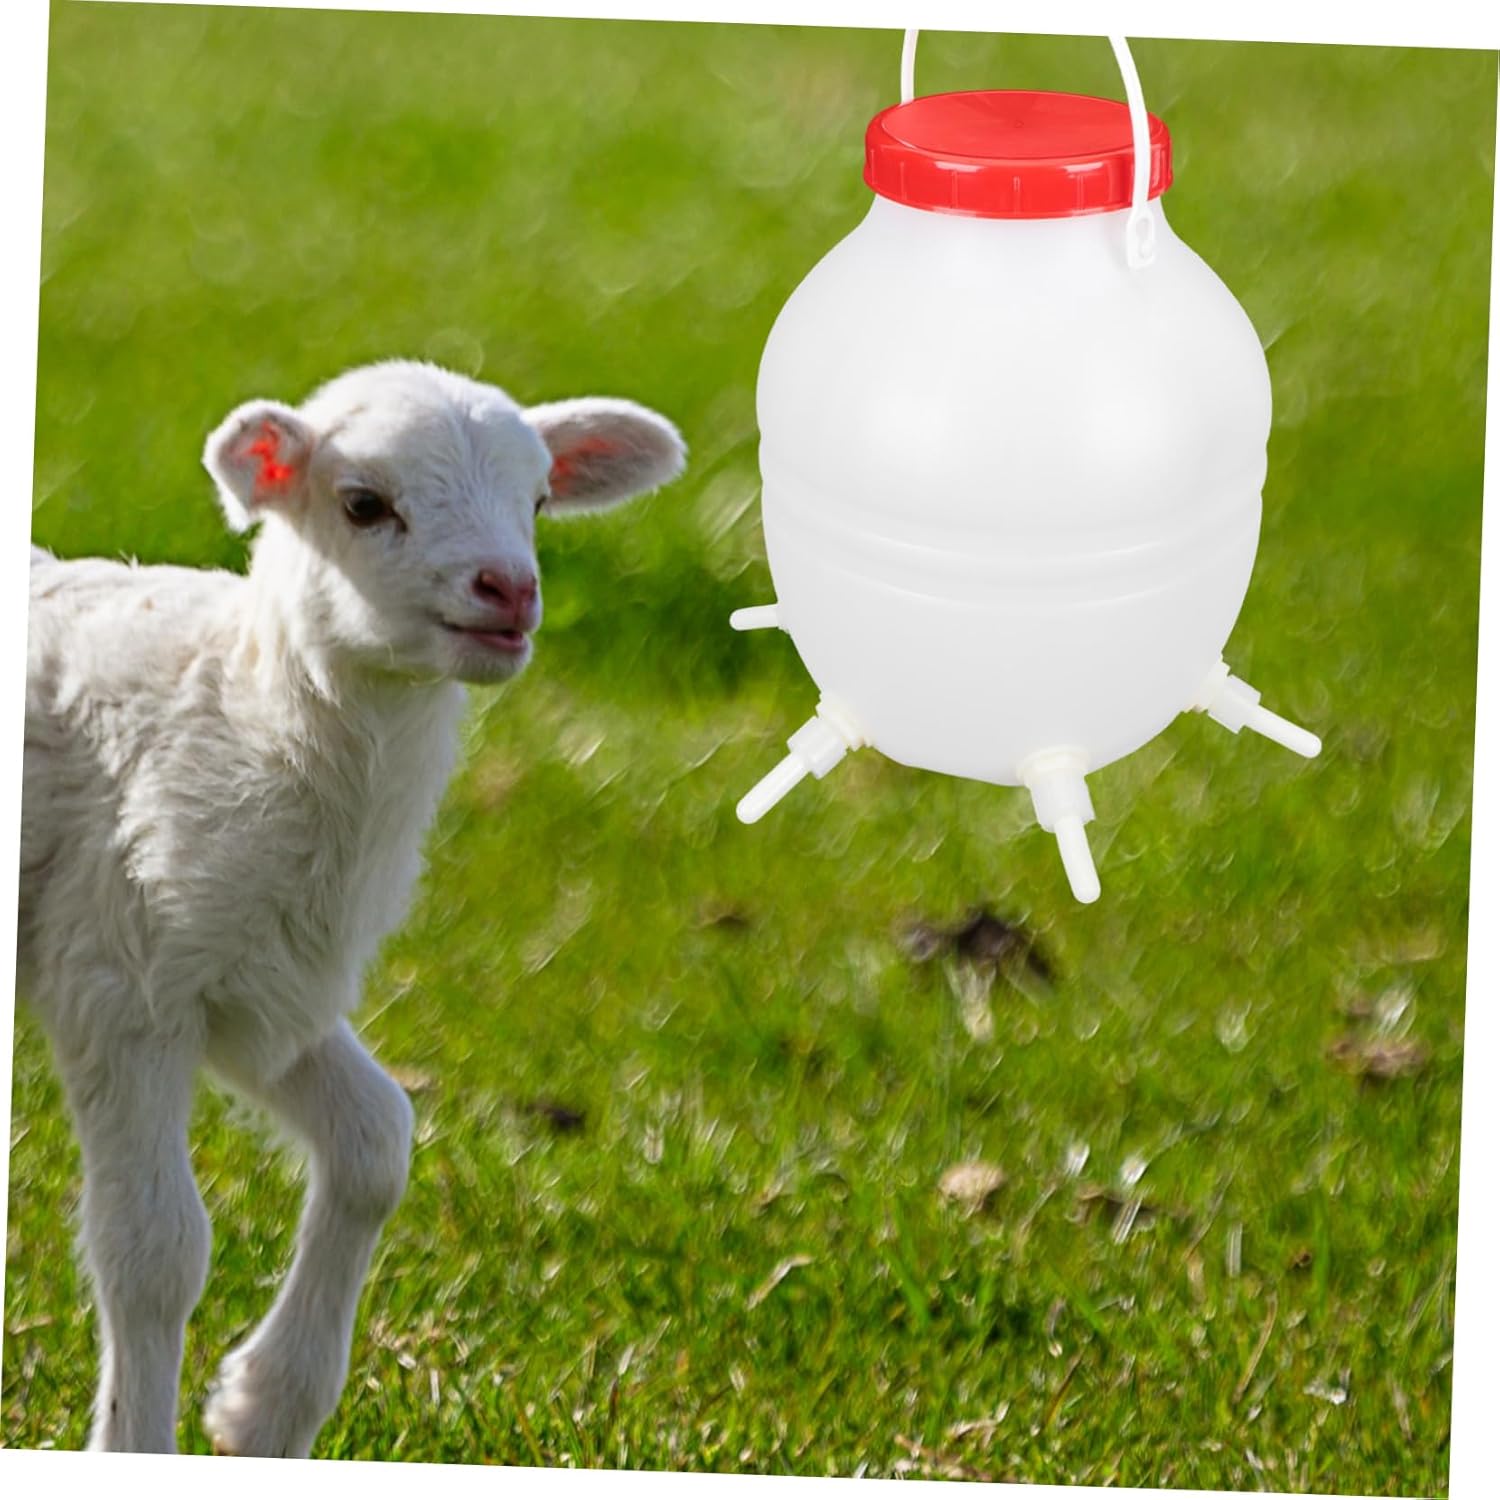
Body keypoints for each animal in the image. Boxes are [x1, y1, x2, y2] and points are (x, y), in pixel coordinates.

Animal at [18, 359, 686, 1457]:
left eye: (540, 500)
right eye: (364, 504)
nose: (509, 590)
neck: (241, 708)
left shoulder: (262, 981)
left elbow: (377, 1143)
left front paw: (265, 1411)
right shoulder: (122, 972)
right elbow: (154, 1250)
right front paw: (142, 1443)